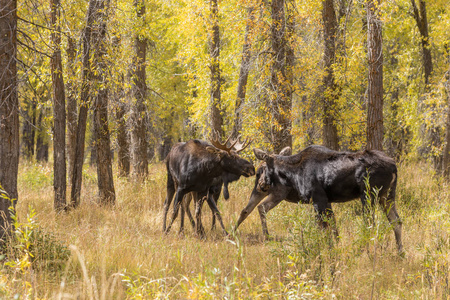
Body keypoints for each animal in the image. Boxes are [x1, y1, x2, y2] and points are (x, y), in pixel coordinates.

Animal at [253, 146, 404, 255]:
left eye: (262, 168)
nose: (261, 184)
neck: (293, 173)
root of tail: (394, 167)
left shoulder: (318, 198)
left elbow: (322, 228)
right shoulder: (327, 200)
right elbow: (333, 227)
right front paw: (336, 246)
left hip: (368, 194)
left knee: (370, 223)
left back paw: (365, 250)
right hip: (387, 195)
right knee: (396, 221)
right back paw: (400, 253)